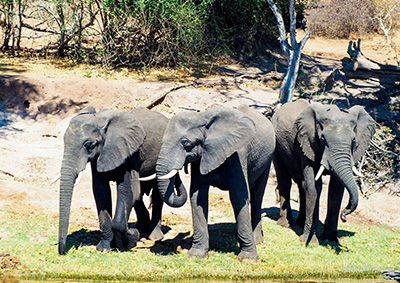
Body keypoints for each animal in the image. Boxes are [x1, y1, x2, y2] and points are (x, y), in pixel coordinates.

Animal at [57, 106, 187, 255]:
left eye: (89, 144)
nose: (62, 252)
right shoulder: (99, 157)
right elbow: (101, 192)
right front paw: (105, 247)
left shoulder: (129, 154)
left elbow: (127, 189)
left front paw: (131, 238)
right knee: (139, 194)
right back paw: (141, 228)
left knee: (155, 194)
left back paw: (152, 236)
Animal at [154, 105, 276, 262]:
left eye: (186, 143)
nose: (180, 169)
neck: (203, 118)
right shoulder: (200, 158)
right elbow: (198, 196)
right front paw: (196, 255)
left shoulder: (238, 153)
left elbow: (239, 196)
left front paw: (248, 259)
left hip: (268, 159)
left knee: (257, 196)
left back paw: (257, 240)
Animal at [272, 98, 376, 245]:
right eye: (322, 139)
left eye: (354, 140)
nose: (344, 216)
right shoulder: (308, 142)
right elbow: (314, 186)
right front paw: (309, 242)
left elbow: (336, 190)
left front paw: (331, 239)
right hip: (276, 143)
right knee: (284, 180)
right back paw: (286, 224)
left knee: (301, 185)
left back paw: (300, 223)